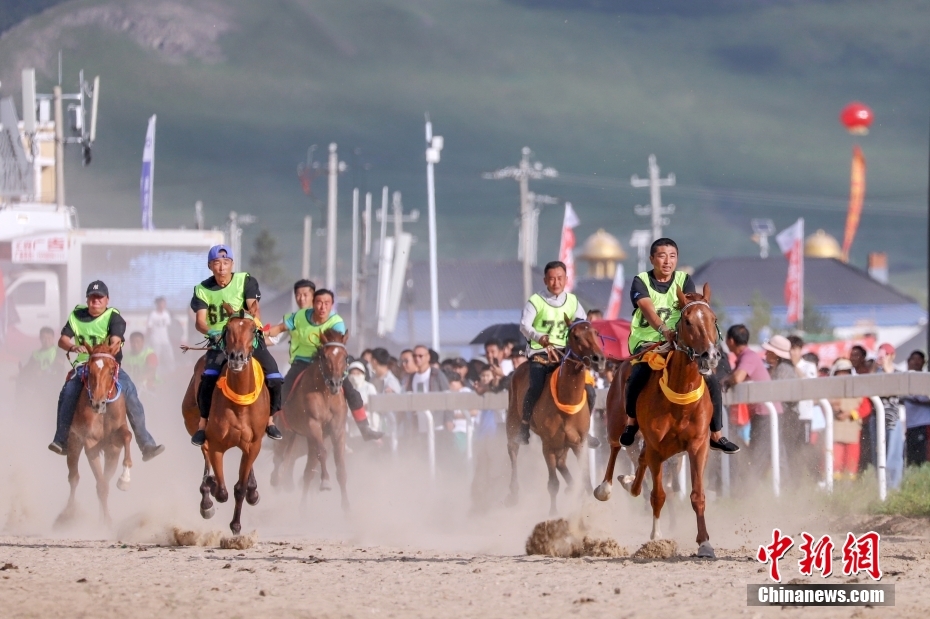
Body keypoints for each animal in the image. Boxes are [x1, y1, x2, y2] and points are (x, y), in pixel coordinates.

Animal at [59, 342, 133, 524]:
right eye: (89, 370)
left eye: (112, 370)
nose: (97, 403)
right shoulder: (89, 442)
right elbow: (101, 485)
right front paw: (106, 522)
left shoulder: (114, 445)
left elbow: (127, 436)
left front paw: (124, 480)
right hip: (73, 442)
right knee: (74, 477)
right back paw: (68, 514)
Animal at [180, 304, 268, 532]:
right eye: (228, 329)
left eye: (253, 330)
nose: (236, 357)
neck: (239, 406)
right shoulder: (216, 444)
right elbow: (221, 491)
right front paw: (210, 490)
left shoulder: (253, 445)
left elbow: (240, 488)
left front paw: (236, 524)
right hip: (194, 425)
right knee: (204, 453)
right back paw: (206, 495)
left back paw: (253, 491)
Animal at [272, 326, 352, 512]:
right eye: (324, 356)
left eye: (345, 357)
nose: (335, 383)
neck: (325, 394)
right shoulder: (313, 425)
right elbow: (322, 453)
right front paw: (326, 482)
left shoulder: (337, 430)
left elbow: (340, 466)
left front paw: (347, 509)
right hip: (287, 432)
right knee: (279, 456)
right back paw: (275, 479)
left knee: (308, 471)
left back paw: (303, 509)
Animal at [504, 318, 604, 516]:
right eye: (576, 336)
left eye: (596, 333)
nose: (598, 358)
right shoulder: (548, 445)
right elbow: (553, 484)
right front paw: (553, 513)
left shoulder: (578, 443)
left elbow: (585, 479)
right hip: (514, 422)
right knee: (513, 450)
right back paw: (513, 494)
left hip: (564, 443)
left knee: (562, 462)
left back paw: (572, 487)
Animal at [596, 284, 716, 560]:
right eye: (688, 320)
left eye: (713, 319)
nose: (709, 356)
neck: (680, 398)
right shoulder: (657, 448)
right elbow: (659, 494)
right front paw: (657, 537)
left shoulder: (698, 446)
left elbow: (697, 495)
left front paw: (704, 543)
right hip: (617, 421)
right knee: (616, 446)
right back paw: (605, 488)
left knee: (638, 466)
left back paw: (629, 483)